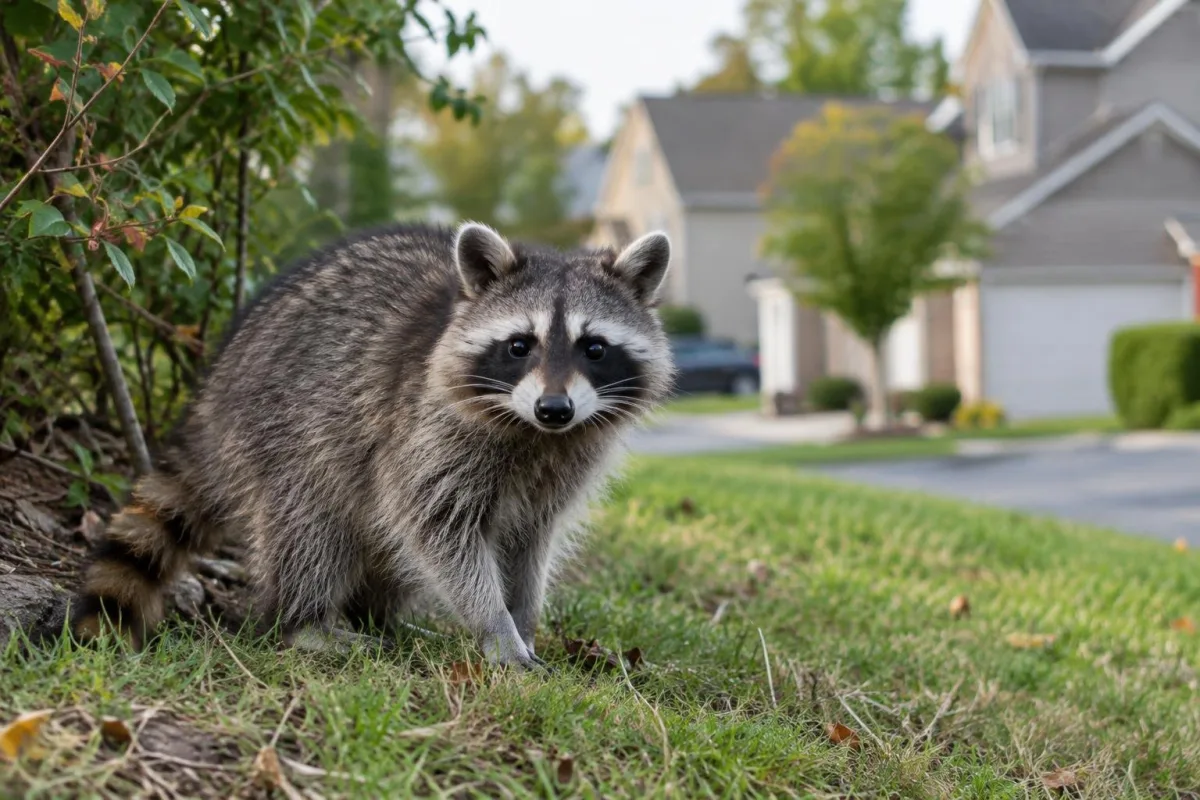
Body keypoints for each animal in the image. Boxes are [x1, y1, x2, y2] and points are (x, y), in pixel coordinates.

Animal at [71, 222, 674, 667]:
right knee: (312, 530)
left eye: (594, 348)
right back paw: (303, 622)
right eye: (519, 345)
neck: (533, 433)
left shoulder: (562, 465)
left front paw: (522, 620)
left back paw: (380, 616)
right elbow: (439, 528)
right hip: (283, 433)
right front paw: (495, 625)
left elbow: (530, 542)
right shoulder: (425, 430)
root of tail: (212, 392)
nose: (554, 409)